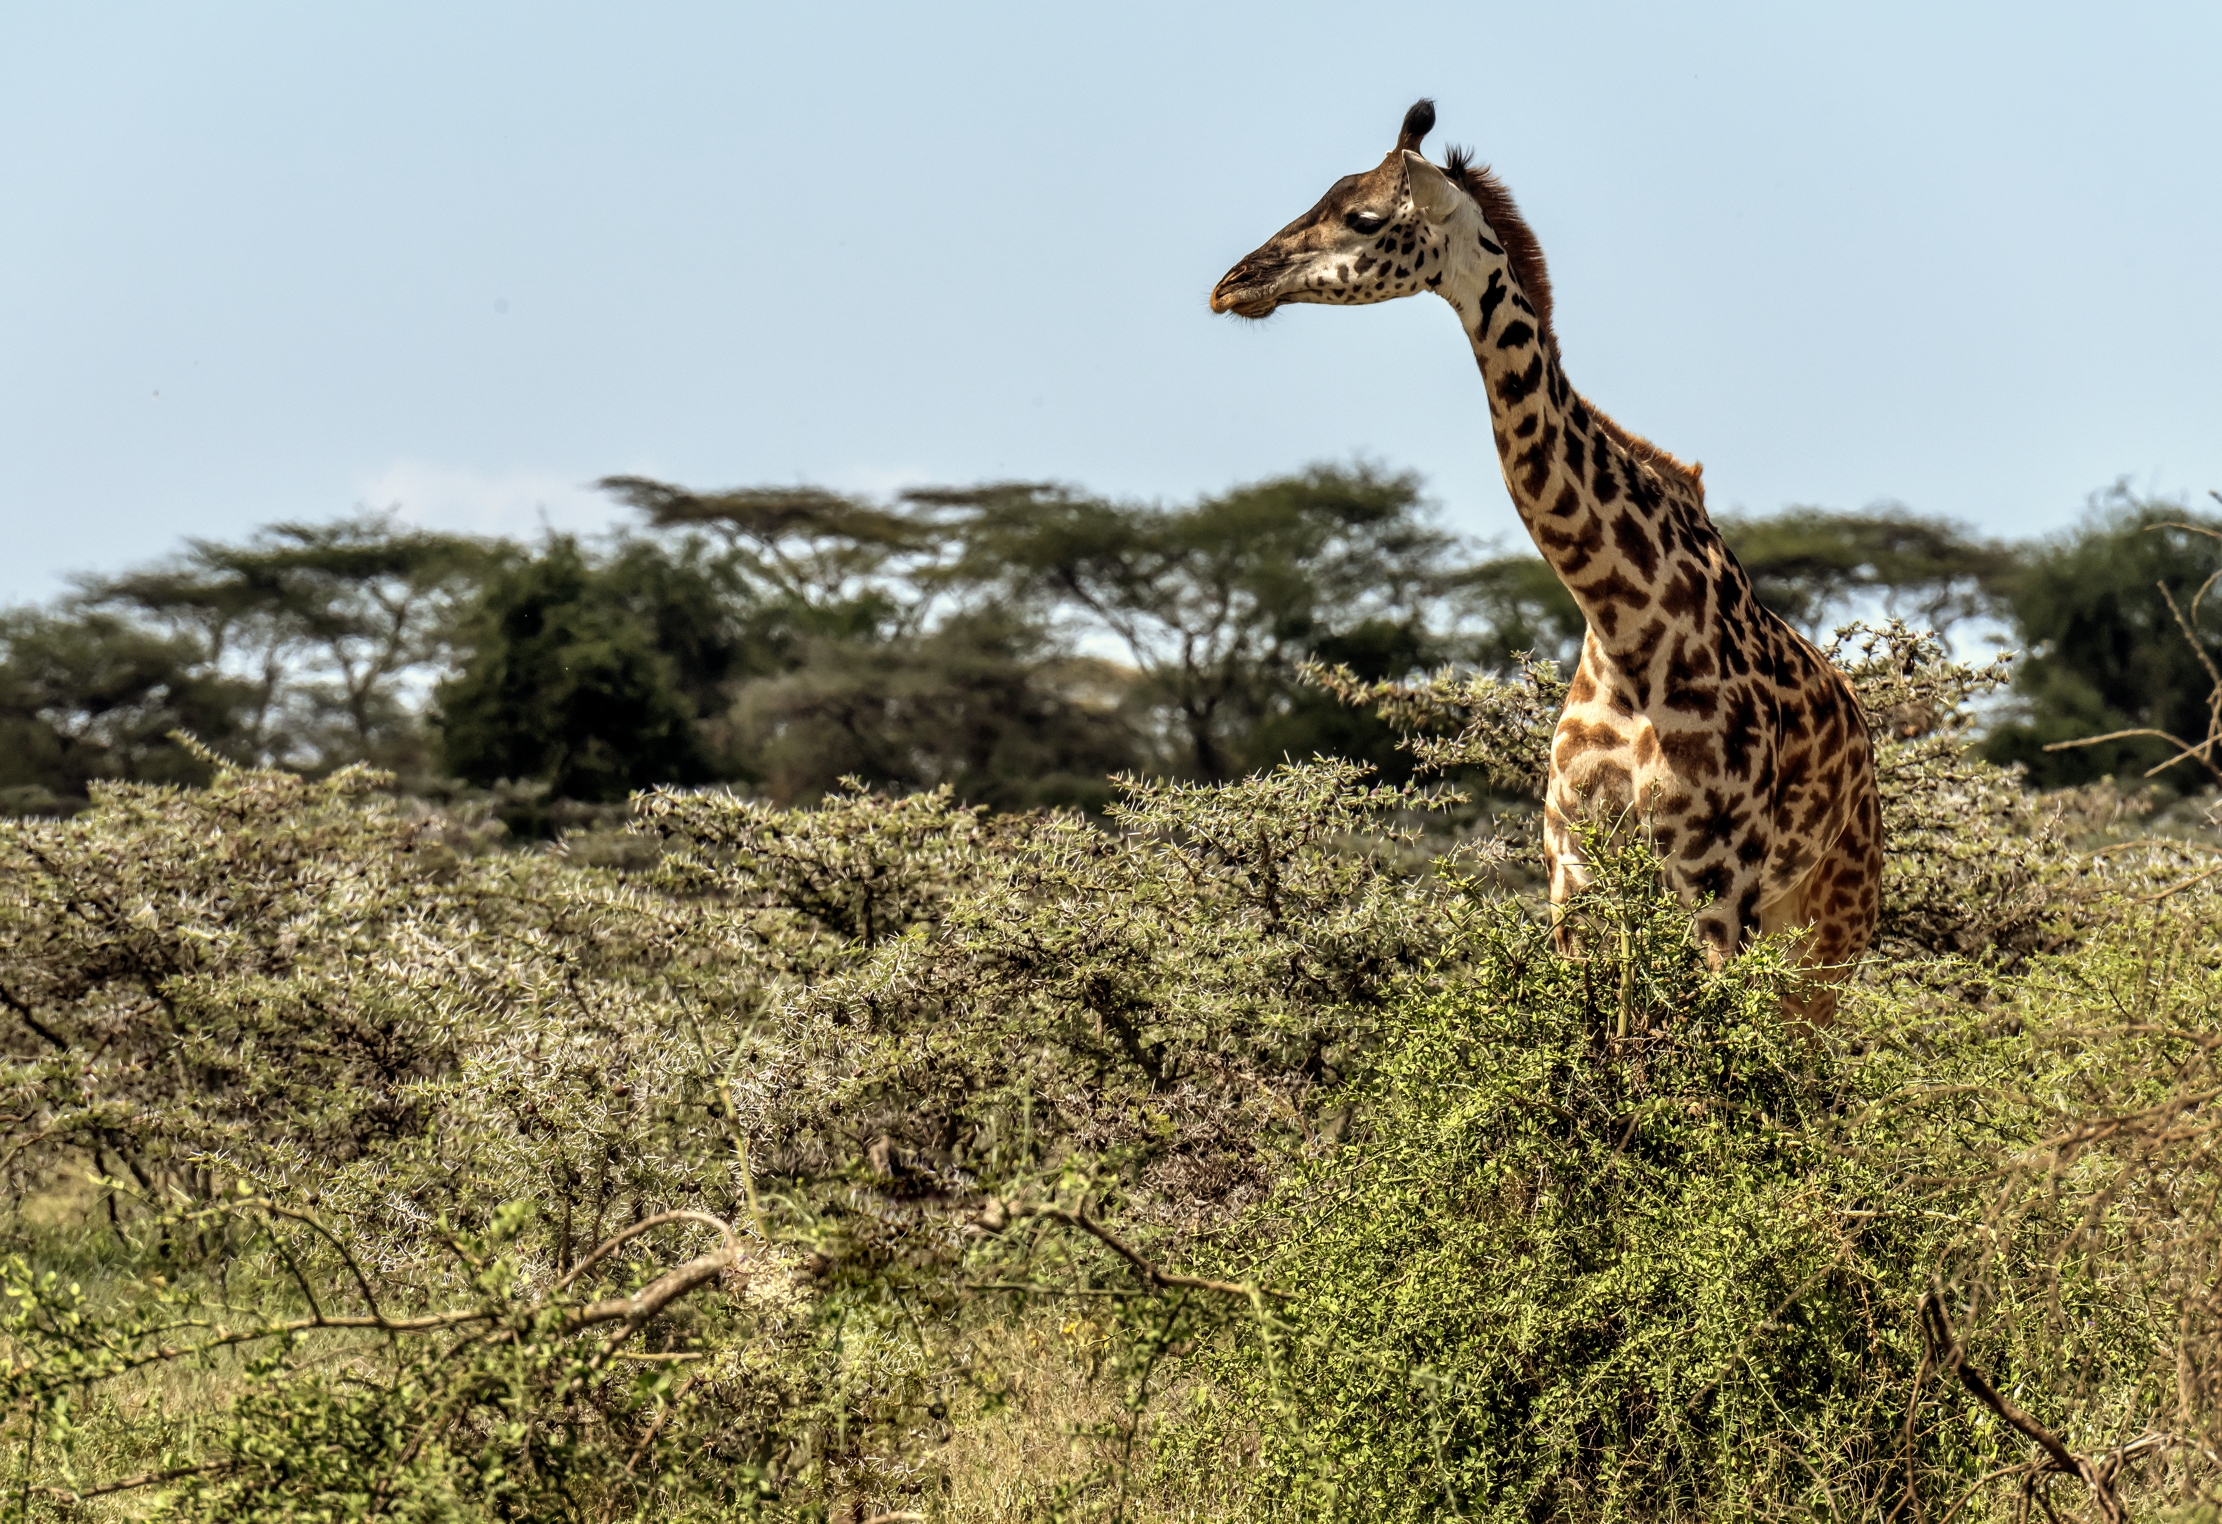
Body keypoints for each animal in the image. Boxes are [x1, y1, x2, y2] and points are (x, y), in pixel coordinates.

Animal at [1210, 99, 1881, 1019]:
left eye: (1365, 218)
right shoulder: (1575, 872)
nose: (1233, 283)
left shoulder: (1712, 880)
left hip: (1829, 922)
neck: (1625, 618)